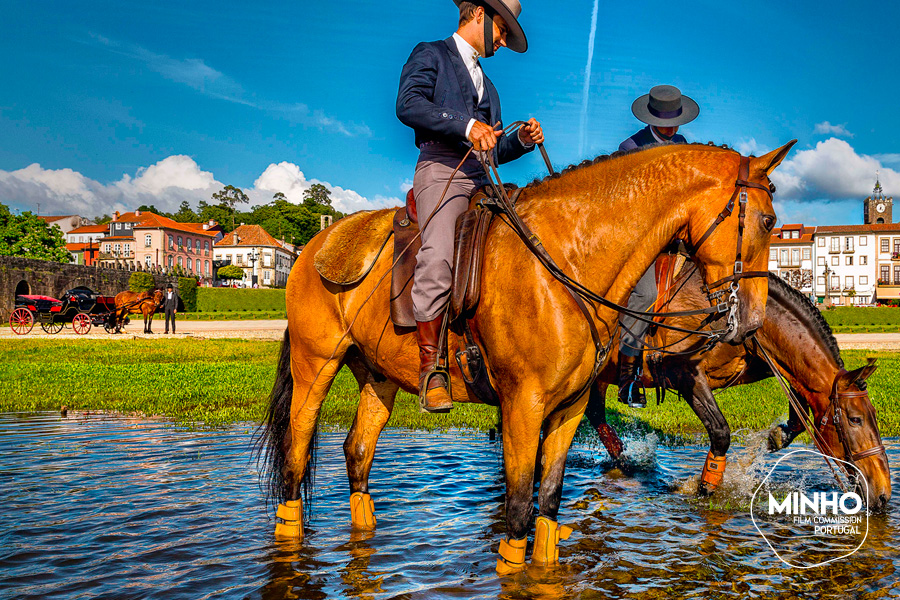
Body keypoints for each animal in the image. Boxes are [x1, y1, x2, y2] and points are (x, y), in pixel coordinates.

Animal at [258, 139, 796, 572]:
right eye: (768, 220)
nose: (751, 320)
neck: (567, 257)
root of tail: (315, 244)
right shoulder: (523, 406)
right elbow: (518, 514)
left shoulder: (568, 408)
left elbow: (548, 510)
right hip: (315, 366)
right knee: (295, 454)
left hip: (378, 375)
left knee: (357, 452)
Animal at [588, 268, 888, 510]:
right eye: (855, 419)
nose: (884, 493)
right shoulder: (685, 374)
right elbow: (720, 432)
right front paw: (706, 488)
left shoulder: (769, 361)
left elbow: (799, 407)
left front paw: (776, 437)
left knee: (595, 415)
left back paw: (624, 461)